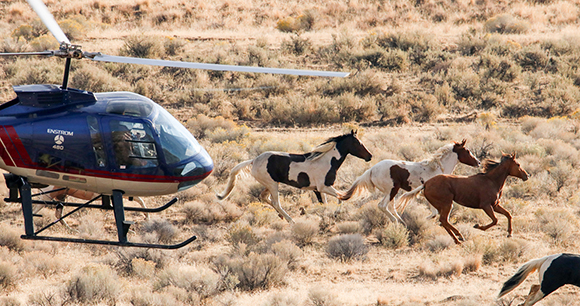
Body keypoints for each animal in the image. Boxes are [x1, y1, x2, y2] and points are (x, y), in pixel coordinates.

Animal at [216, 130, 372, 224]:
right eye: (358, 143)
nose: (369, 156)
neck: (327, 160)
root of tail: (254, 160)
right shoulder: (324, 187)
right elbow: (341, 197)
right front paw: (334, 214)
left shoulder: (318, 189)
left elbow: (327, 202)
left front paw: (328, 215)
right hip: (272, 184)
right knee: (276, 202)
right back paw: (291, 220)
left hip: (270, 184)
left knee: (264, 197)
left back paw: (281, 216)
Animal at [340, 140, 480, 224]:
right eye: (467, 151)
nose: (478, 162)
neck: (437, 168)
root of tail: (372, 169)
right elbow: (435, 212)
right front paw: (426, 219)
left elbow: (435, 212)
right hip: (392, 190)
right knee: (383, 206)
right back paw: (397, 222)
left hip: (389, 192)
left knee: (389, 206)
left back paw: (401, 221)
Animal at [396, 152, 528, 244]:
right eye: (518, 164)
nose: (527, 175)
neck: (491, 180)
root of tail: (426, 184)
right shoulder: (486, 206)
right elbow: (495, 220)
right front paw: (478, 226)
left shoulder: (495, 205)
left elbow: (508, 215)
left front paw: (509, 233)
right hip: (447, 204)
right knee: (444, 220)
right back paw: (459, 237)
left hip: (443, 206)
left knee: (444, 221)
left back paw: (458, 238)